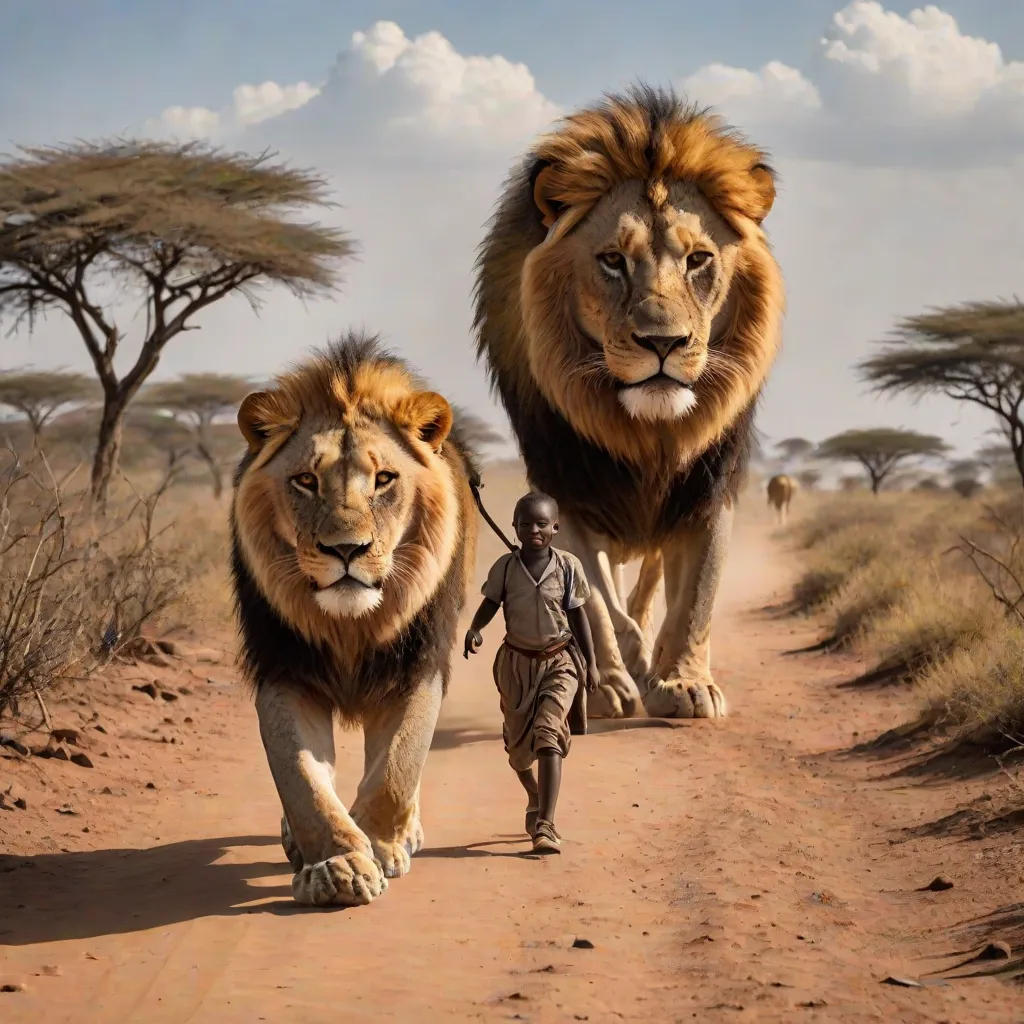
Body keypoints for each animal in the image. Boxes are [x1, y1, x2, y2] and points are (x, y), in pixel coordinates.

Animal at [230, 334, 478, 906]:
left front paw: (382, 845)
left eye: (384, 479)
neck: (350, 627)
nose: (346, 549)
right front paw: (337, 864)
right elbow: (300, 778)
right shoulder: (286, 670)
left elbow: (398, 765)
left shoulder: (416, 666)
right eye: (305, 480)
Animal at [474, 85, 784, 719]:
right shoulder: (570, 487)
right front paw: (615, 680)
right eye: (613, 260)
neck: (647, 433)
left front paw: (684, 682)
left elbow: (697, 595)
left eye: (698, 260)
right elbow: (594, 599)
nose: (663, 343)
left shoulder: (708, 485)